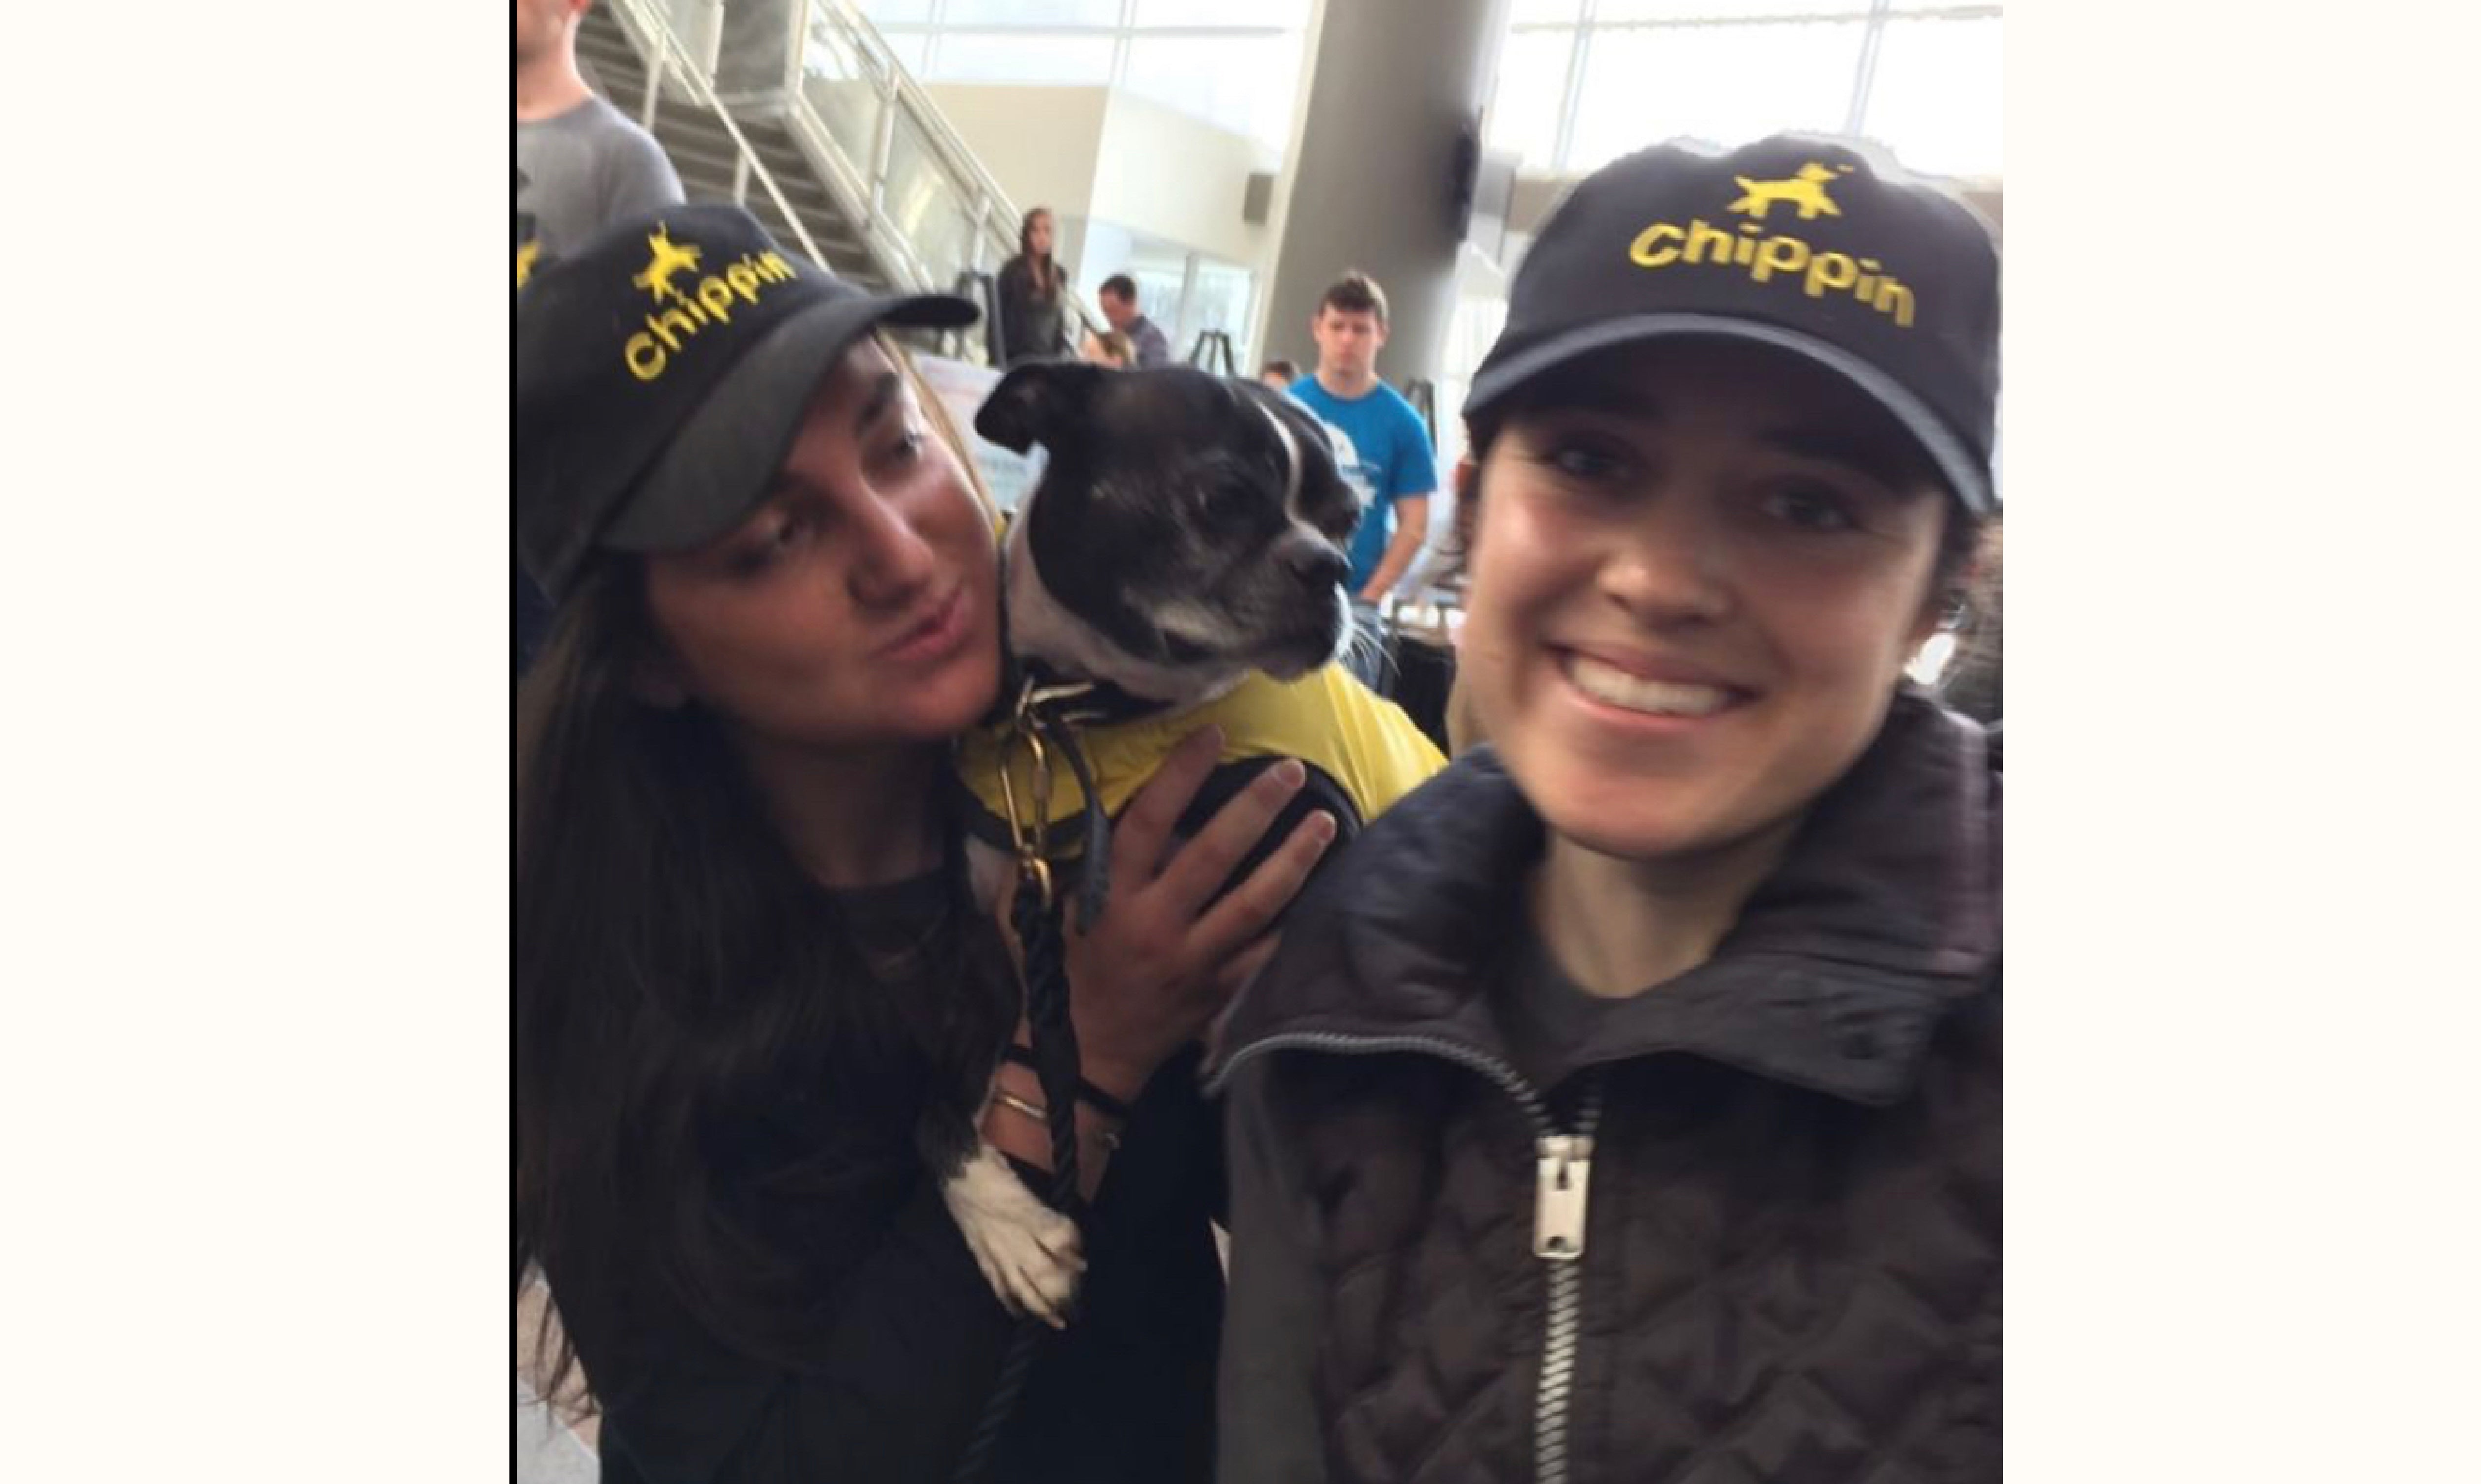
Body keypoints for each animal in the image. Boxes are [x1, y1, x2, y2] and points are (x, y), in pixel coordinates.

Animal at [923, 359, 1369, 1330]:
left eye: (1348, 521)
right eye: (1222, 500)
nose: (1332, 566)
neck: (1081, 713)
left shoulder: (1326, 833)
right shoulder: (987, 952)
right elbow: (932, 1108)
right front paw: (1009, 1228)